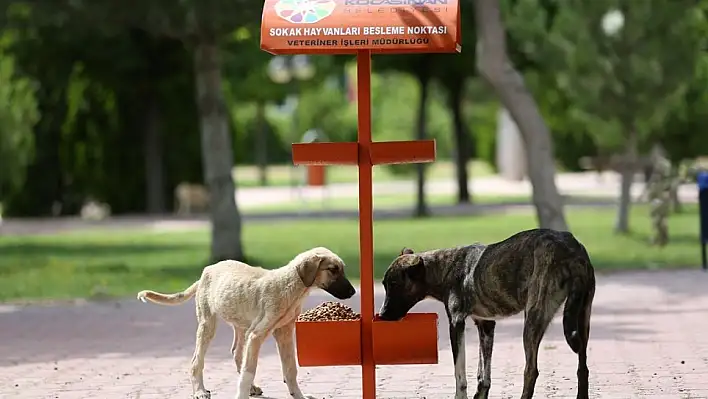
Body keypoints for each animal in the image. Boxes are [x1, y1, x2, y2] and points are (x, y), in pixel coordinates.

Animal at [136, 247, 356, 399]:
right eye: (333, 269)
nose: (353, 292)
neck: (290, 287)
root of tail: (207, 270)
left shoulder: (284, 333)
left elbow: (290, 370)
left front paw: (299, 396)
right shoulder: (258, 334)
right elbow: (249, 371)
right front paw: (241, 394)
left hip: (242, 326)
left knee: (237, 353)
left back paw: (250, 388)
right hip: (208, 324)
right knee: (197, 361)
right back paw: (199, 391)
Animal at [378, 228, 596, 399]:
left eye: (395, 284)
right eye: (384, 284)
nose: (381, 316)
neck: (444, 268)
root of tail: (571, 249)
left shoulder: (456, 324)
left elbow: (460, 373)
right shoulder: (486, 325)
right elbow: (483, 372)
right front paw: (480, 393)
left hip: (533, 319)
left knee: (531, 371)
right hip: (582, 319)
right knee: (583, 368)